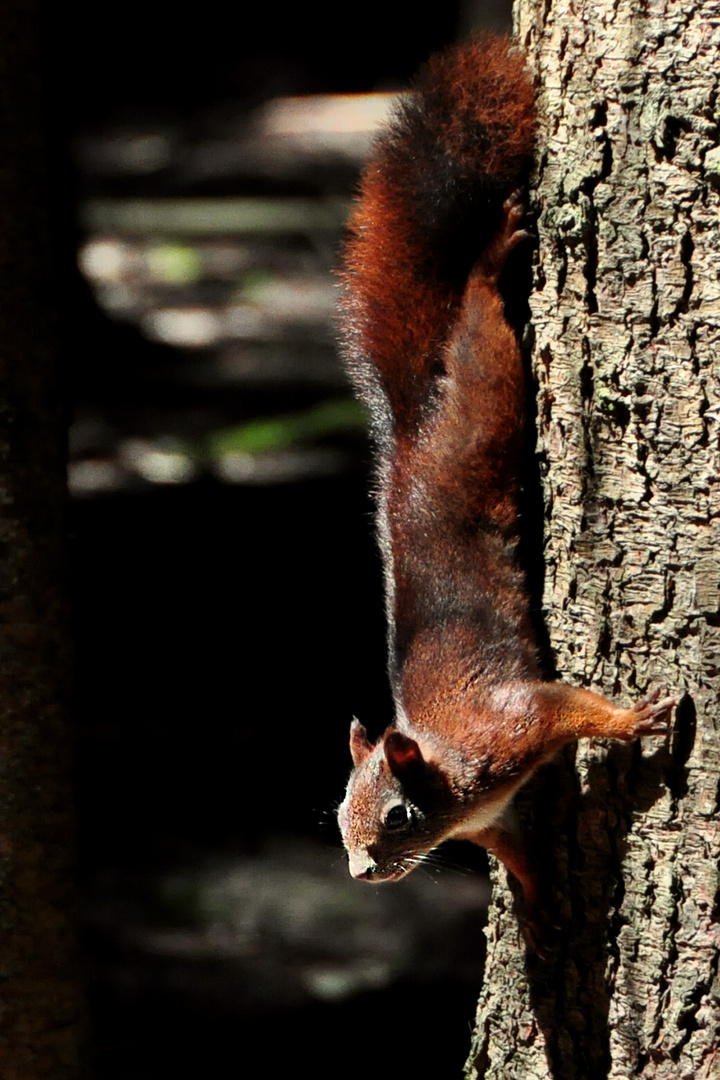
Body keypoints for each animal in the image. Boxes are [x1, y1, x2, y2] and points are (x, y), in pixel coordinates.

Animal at [334, 33, 677, 928]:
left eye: (397, 816)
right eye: (339, 810)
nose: (360, 873)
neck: (455, 782)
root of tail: (413, 433)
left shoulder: (513, 726)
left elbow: (571, 707)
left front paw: (633, 718)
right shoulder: (497, 819)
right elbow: (519, 855)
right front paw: (544, 909)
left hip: (488, 391)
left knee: (481, 315)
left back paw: (492, 258)